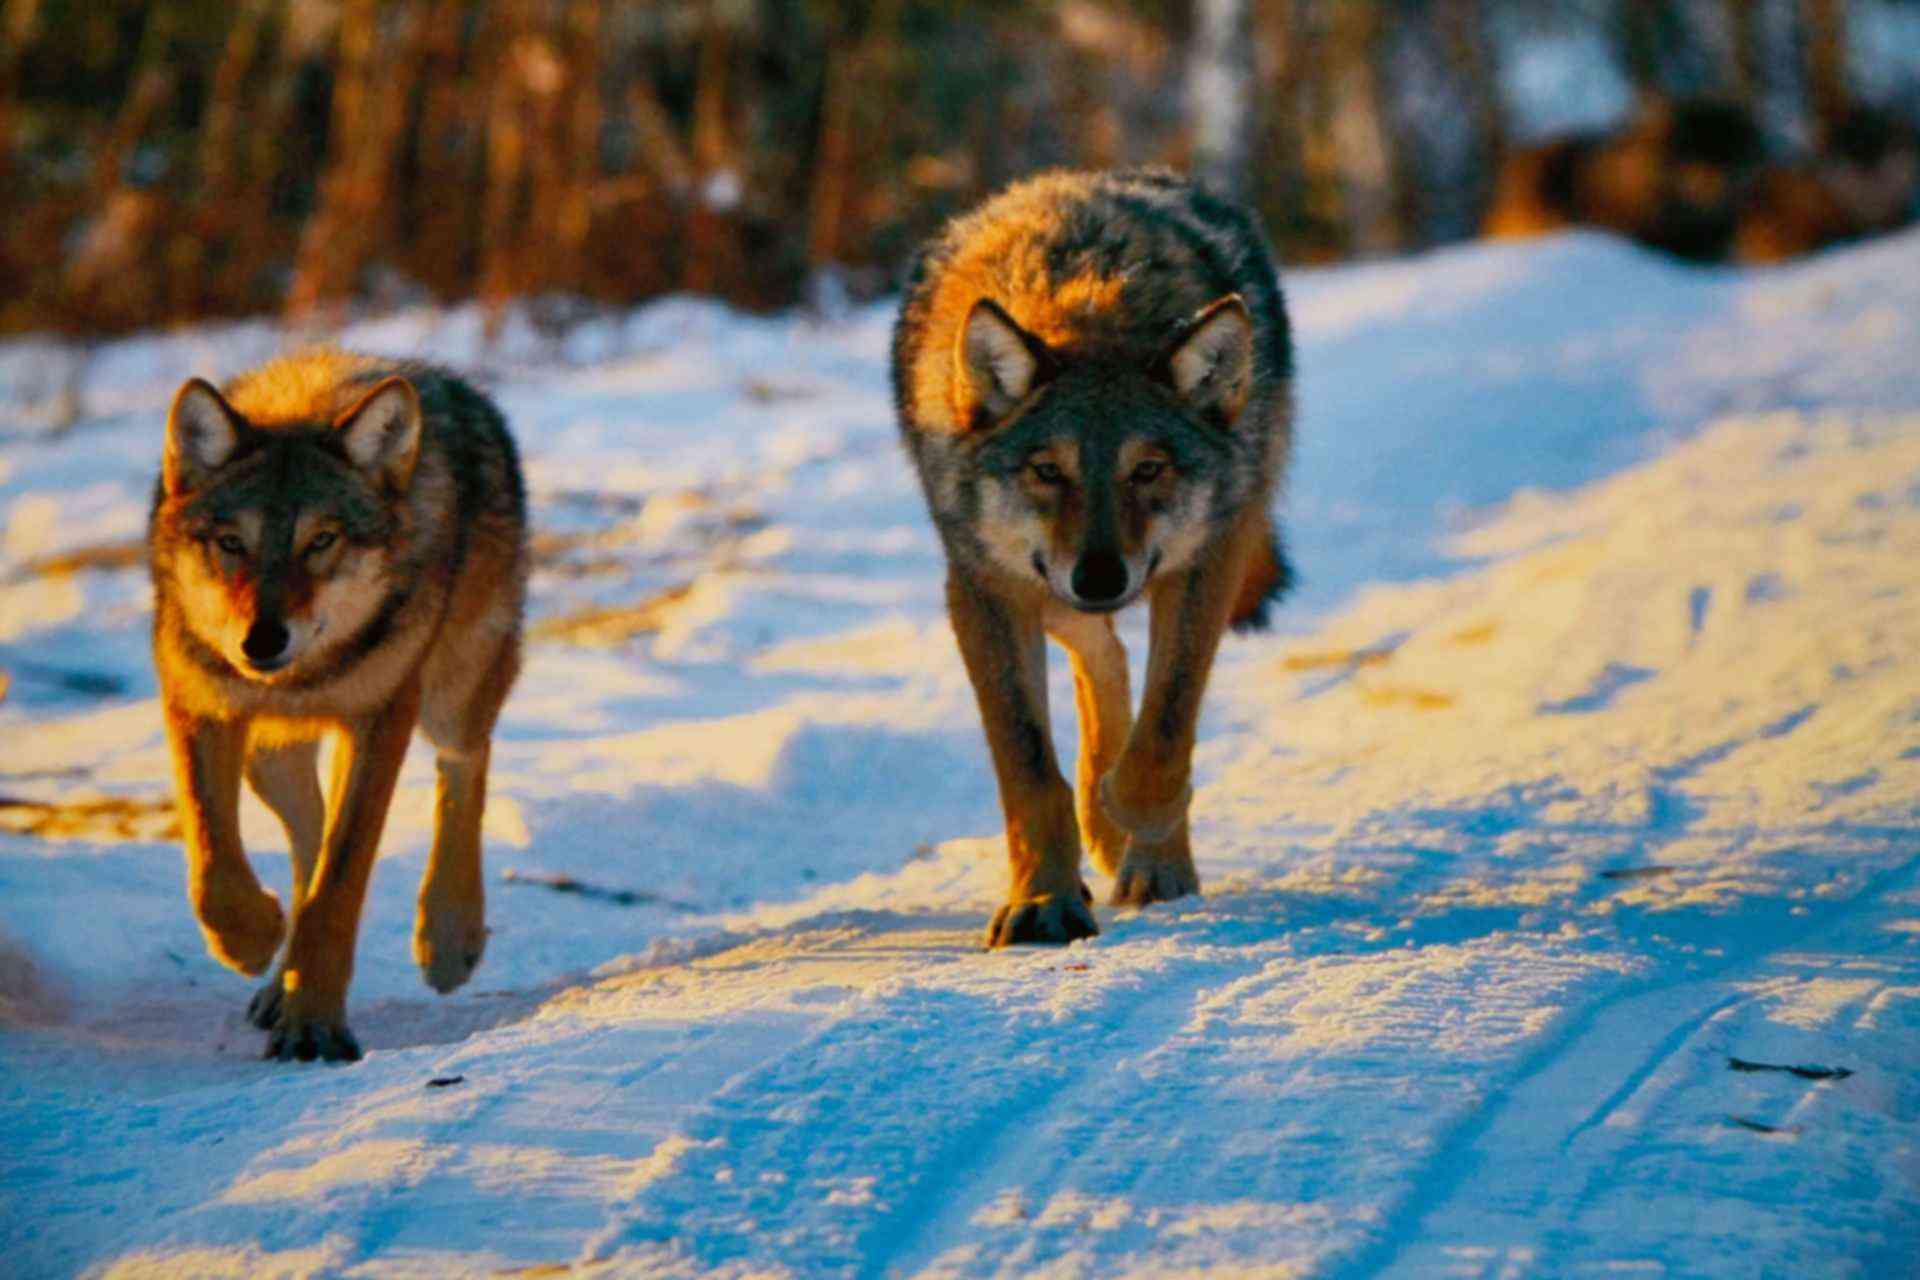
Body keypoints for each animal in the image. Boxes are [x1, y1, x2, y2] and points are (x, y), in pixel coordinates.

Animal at [894, 167, 1290, 951]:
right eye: (1048, 471)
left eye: (1148, 470)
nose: (1102, 575)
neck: (1086, 298)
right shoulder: (984, 585)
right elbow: (1028, 769)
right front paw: (1043, 901)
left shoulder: (1209, 557)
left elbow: (1166, 727)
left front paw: (1140, 824)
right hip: (1039, 588)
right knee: (1104, 654)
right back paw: (1102, 833)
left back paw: (1144, 854)